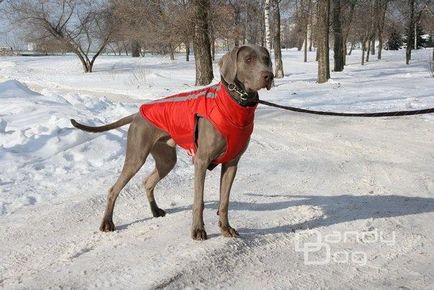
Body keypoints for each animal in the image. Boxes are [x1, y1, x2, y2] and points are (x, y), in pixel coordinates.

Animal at [72, 44, 272, 240]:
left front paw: (226, 228)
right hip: (136, 157)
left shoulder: (231, 164)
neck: (236, 104)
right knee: (113, 189)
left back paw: (155, 210)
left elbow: (224, 201)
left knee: (148, 182)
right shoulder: (201, 161)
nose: (268, 75)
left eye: (267, 59)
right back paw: (107, 222)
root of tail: (138, 114)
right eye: (248, 59)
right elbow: (198, 200)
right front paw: (198, 230)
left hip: (166, 159)